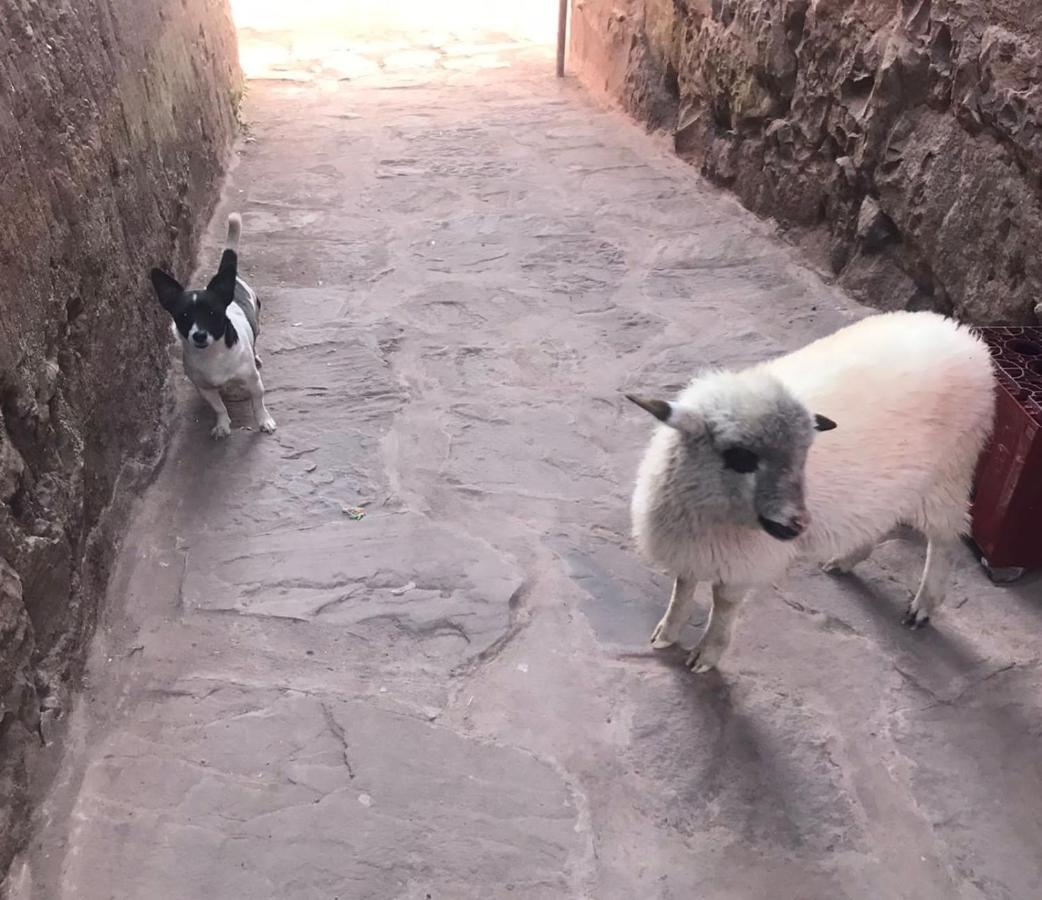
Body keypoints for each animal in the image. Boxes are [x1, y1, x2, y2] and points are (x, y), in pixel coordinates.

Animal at [151, 210, 275, 435]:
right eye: (183, 316)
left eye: (212, 313)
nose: (199, 335)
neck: (213, 355)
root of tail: (232, 278)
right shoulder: (205, 388)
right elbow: (219, 407)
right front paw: (222, 425)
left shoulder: (253, 381)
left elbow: (258, 402)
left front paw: (264, 421)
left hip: (258, 323)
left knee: (255, 341)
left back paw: (256, 355)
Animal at [625, 308, 991, 666]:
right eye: (741, 458)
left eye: (804, 454)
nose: (799, 522)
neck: (707, 512)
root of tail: (963, 335)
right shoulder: (691, 547)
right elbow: (683, 587)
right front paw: (666, 633)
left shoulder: (744, 561)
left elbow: (723, 602)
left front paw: (707, 653)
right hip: (894, 485)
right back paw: (847, 558)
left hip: (948, 473)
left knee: (945, 537)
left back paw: (925, 603)